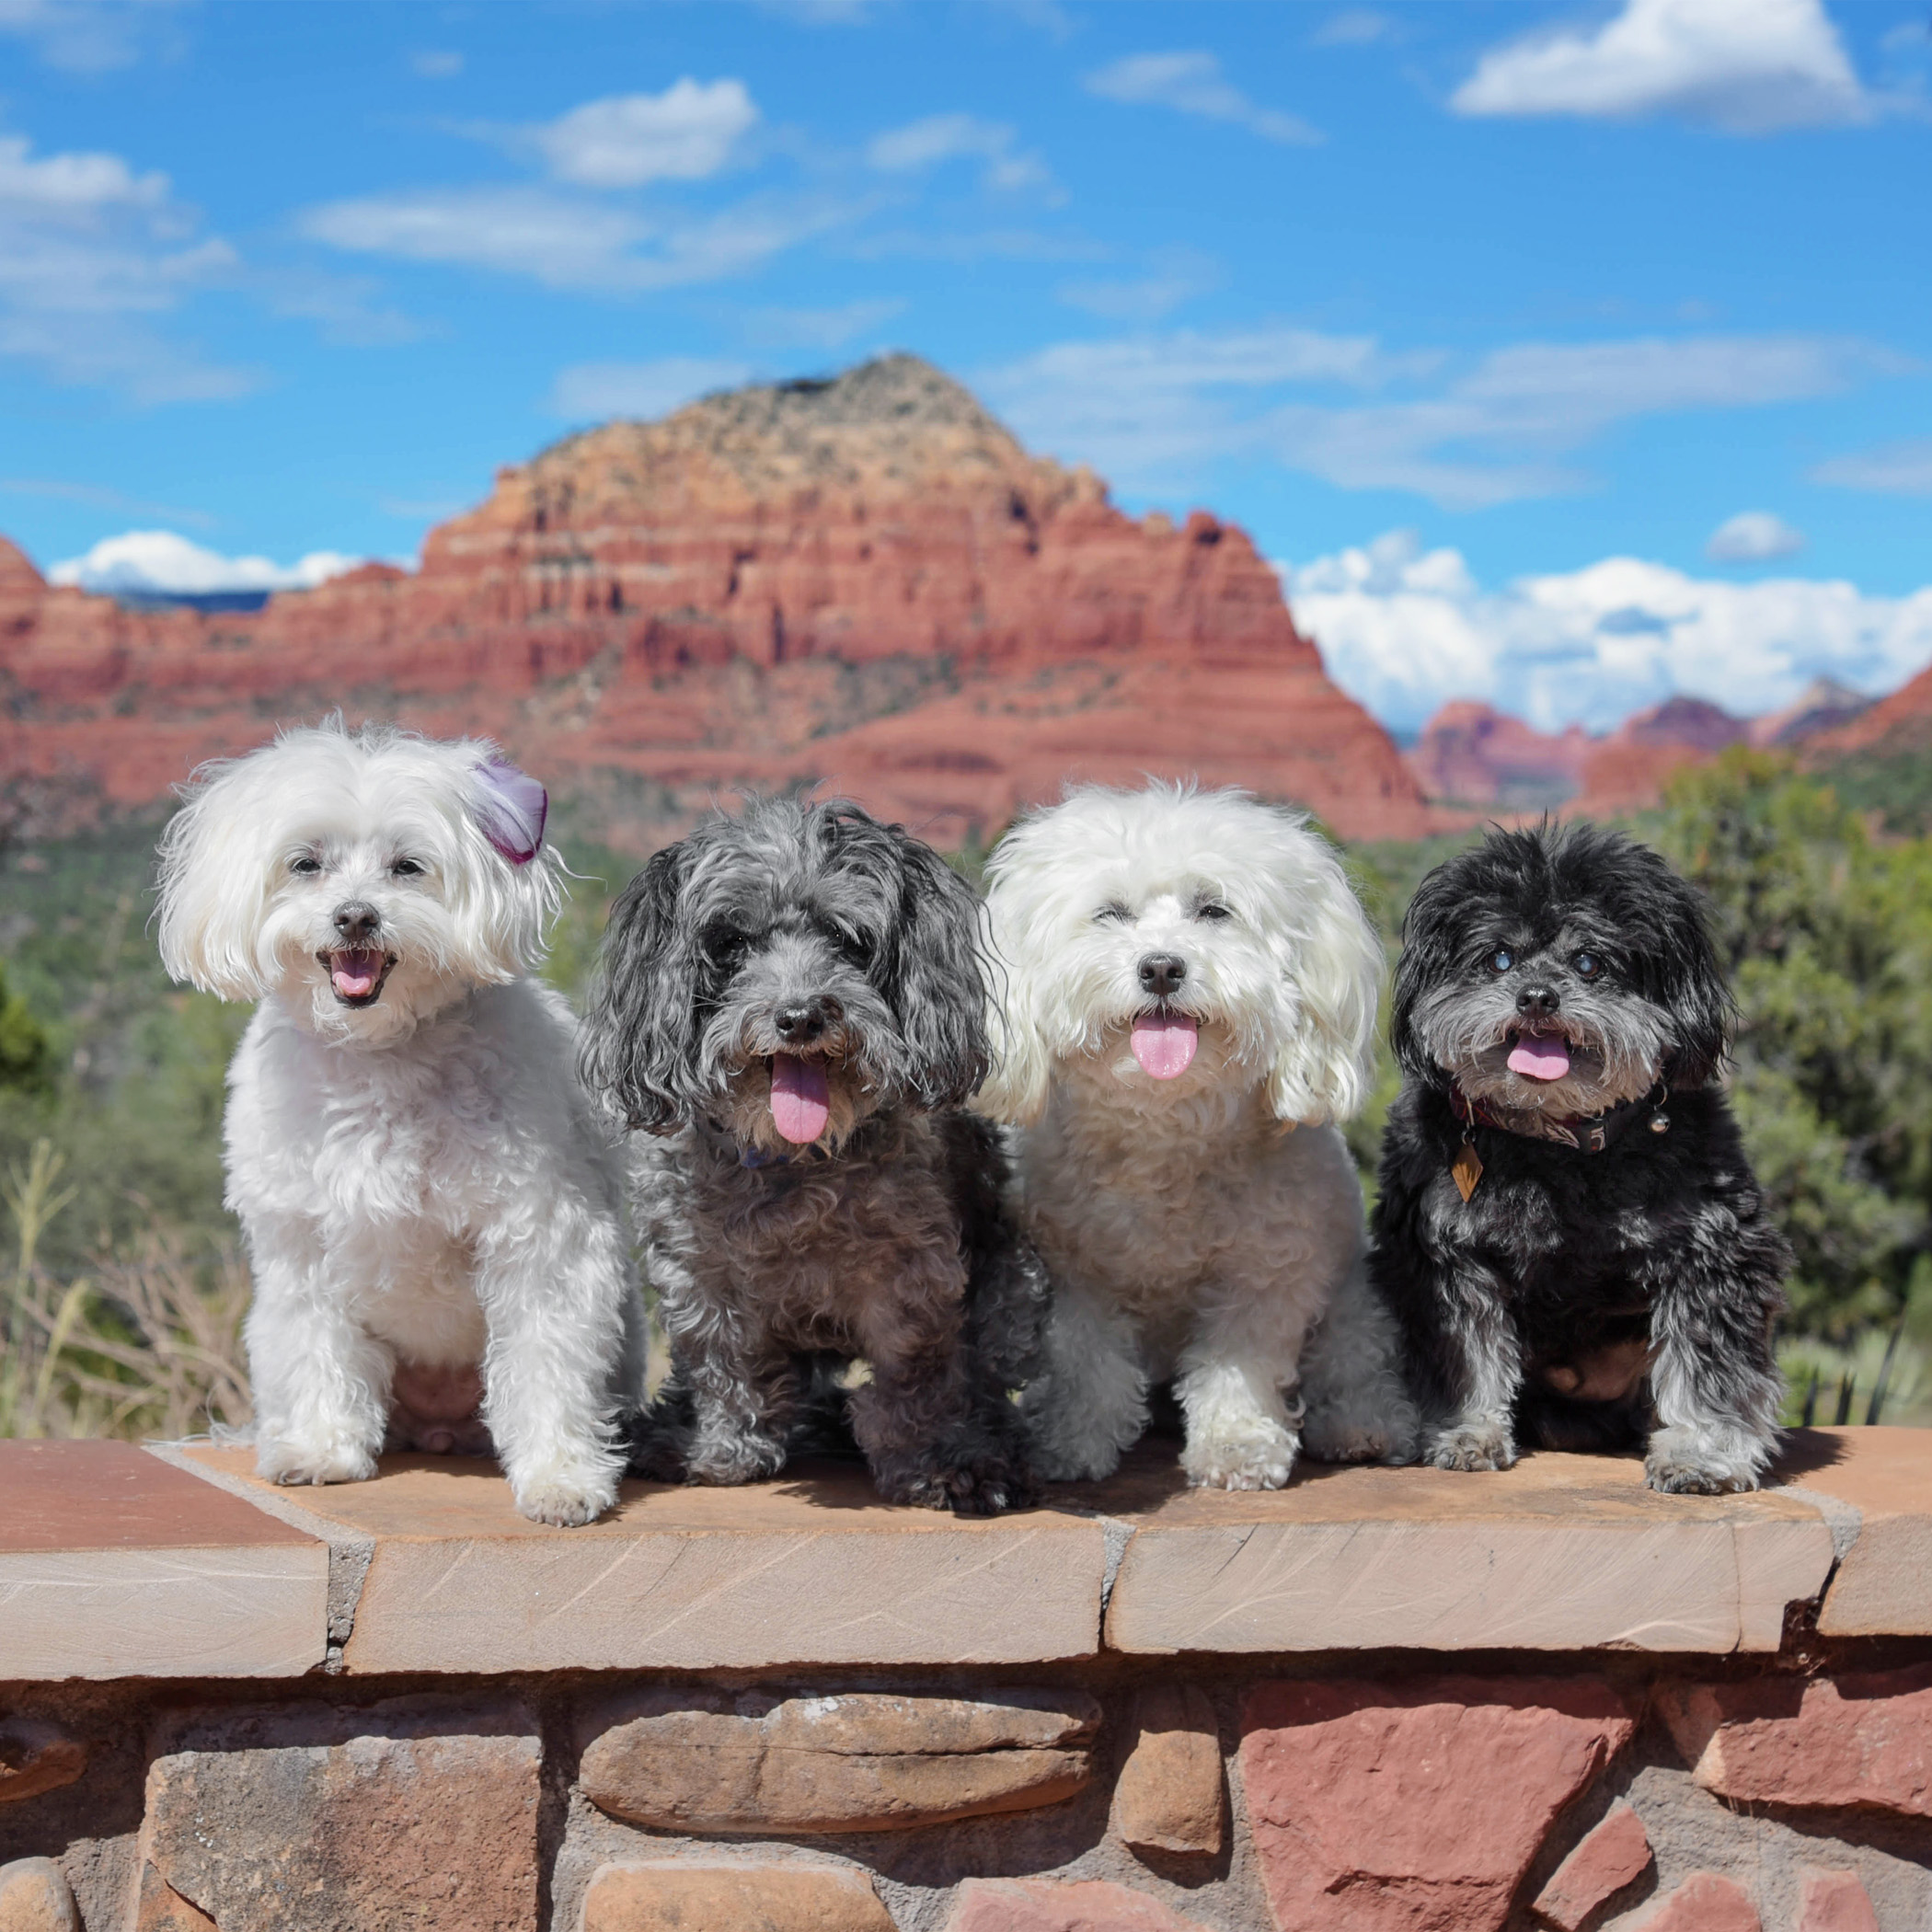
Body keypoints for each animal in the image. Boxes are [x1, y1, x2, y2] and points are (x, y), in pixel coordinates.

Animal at [158, 722, 641, 1522]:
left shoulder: (542, 1236)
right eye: (306, 863)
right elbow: (316, 1346)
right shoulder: (302, 1244)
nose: (356, 914)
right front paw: (322, 1450)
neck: (380, 1054)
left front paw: (561, 1477)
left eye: (407, 866)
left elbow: (546, 1360)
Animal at [575, 791, 1043, 1514]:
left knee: (987, 1376)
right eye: (730, 942)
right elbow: (723, 1364)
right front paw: (719, 1450)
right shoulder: (697, 1269)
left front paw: (939, 1462)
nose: (799, 1017)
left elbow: (919, 1376)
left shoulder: (912, 1276)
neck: (791, 1161)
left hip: (1014, 1297)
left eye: (849, 939)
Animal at [981, 784, 1421, 1491]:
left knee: (1354, 1361)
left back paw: (1364, 1425)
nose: (1162, 967)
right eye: (1111, 914)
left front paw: (1237, 1447)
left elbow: (1237, 1364)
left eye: (1214, 910)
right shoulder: (1075, 1277)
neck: (1166, 1129)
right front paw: (1070, 1440)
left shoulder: (1268, 1275)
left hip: (1351, 1296)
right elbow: (1085, 1362)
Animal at [1367, 815, 1785, 1491]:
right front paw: (1466, 1433)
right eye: (1500, 957)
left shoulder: (1714, 1254)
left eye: (1589, 962)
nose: (1537, 996)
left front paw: (1704, 1454)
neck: (1556, 1146)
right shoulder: (1445, 1256)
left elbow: (1711, 1367)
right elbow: (1464, 1358)